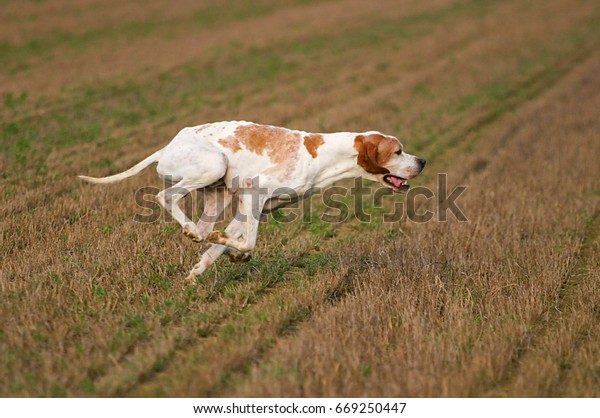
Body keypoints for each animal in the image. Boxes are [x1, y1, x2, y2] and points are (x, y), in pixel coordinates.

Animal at [79, 120, 426, 280]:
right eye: (398, 151)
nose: (422, 161)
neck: (326, 155)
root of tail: (168, 146)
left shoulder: (254, 206)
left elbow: (225, 244)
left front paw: (202, 268)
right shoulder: (253, 191)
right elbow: (248, 243)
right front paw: (234, 253)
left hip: (218, 193)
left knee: (203, 229)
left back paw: (196, 238)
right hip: (213, 165)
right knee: (166, 197)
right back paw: (189, 228)